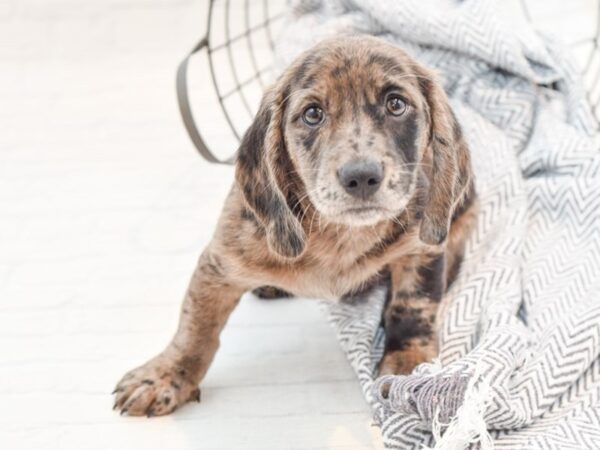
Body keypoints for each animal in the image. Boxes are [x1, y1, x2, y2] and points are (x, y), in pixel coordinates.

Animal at [112, 33, 478, 416]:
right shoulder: (219, 262)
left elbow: (413, 307)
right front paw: (166, 375)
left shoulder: (421, 249)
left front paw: (408, 364)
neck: (338, 235)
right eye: (313, 114)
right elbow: (195, 326)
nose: (361, 176)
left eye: (396, 104)